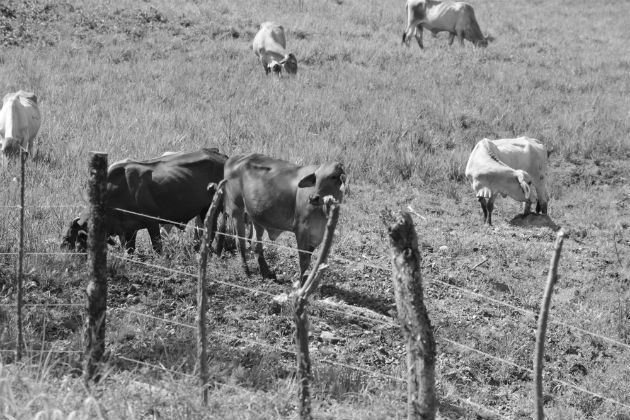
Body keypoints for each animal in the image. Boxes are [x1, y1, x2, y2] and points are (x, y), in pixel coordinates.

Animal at [61, 148, 228, 253]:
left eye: (69, 239)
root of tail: (222, 157)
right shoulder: (127, 229)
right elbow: (129, 250)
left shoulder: (152, 221)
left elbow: (157, 247)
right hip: (204, 210)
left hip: (214, 207)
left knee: (211, 230)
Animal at [217, 153, 346, 284]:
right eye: (316, 176)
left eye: (334, 176)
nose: (313, 198)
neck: (322, 212)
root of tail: (235, 157)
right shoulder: (301, 229)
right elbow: (304, 260)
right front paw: (300, 284)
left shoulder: (318, 233)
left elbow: (310, 258)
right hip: (236, 209)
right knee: (240, 242)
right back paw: (246, 270)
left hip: (256, 216)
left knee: (255, 244)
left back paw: (266, 273)